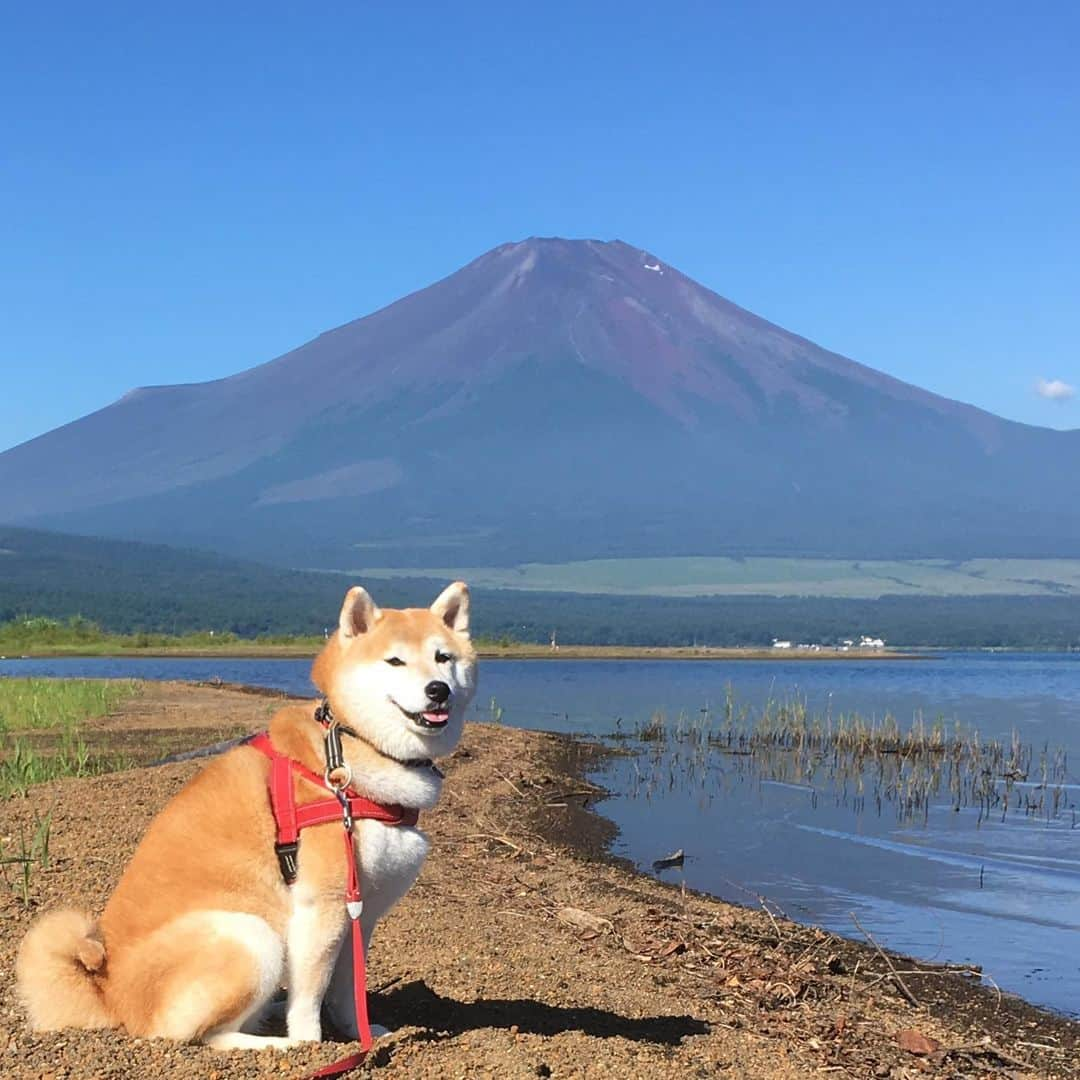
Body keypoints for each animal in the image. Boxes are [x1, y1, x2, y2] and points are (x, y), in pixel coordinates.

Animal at [16, 587, 477, 1049]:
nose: (437, 690)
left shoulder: (361, 913)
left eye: (443, 658)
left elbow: (348, 991)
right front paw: (312, 1042)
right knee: (204, 1035)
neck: (349, 753)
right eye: (394, 661)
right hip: (252, 936)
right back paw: (279, 1044)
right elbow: (311, 994)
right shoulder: (321, 905)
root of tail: (109, 996)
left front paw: (360, 1033)